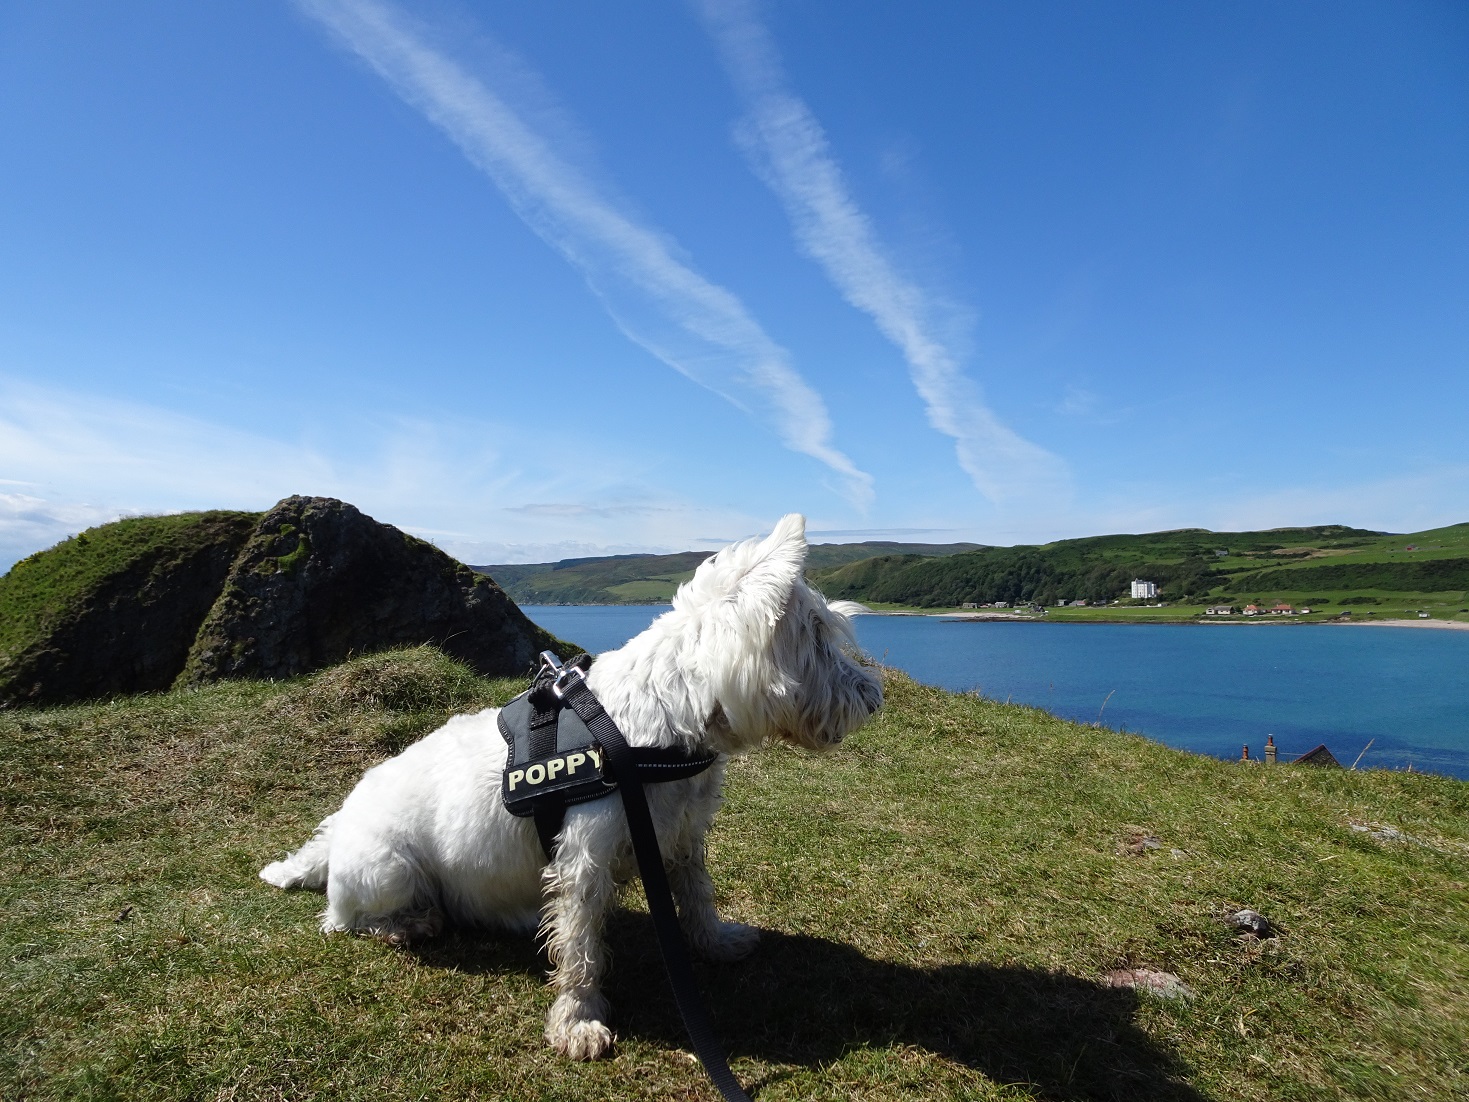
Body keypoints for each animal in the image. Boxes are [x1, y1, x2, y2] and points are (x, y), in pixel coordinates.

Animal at [261, 517, 881, 1063]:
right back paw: (410, 924)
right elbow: (581, 946)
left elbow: (697, 893)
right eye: (820, 637)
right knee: (345, 918)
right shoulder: (584, 856)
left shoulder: (683, 835)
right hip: (391, 868)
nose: (873, 698)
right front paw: (578, 1021)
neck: (656, 728)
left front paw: (716, 942)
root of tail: (337, 833)